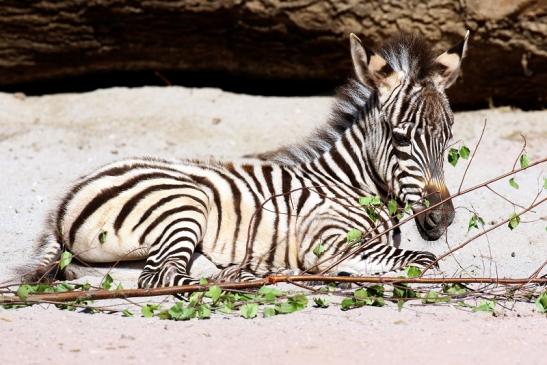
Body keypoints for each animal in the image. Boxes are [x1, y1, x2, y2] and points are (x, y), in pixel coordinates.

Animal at [19, 32, 468, 288]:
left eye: (448, 141)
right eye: (400, 138)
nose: (441, 219)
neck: (347, 185)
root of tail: (65, 200)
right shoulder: (324, 237)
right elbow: (424, 260)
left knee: (122, 274)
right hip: (183, 204)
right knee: (159, 276)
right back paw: (266, 275)